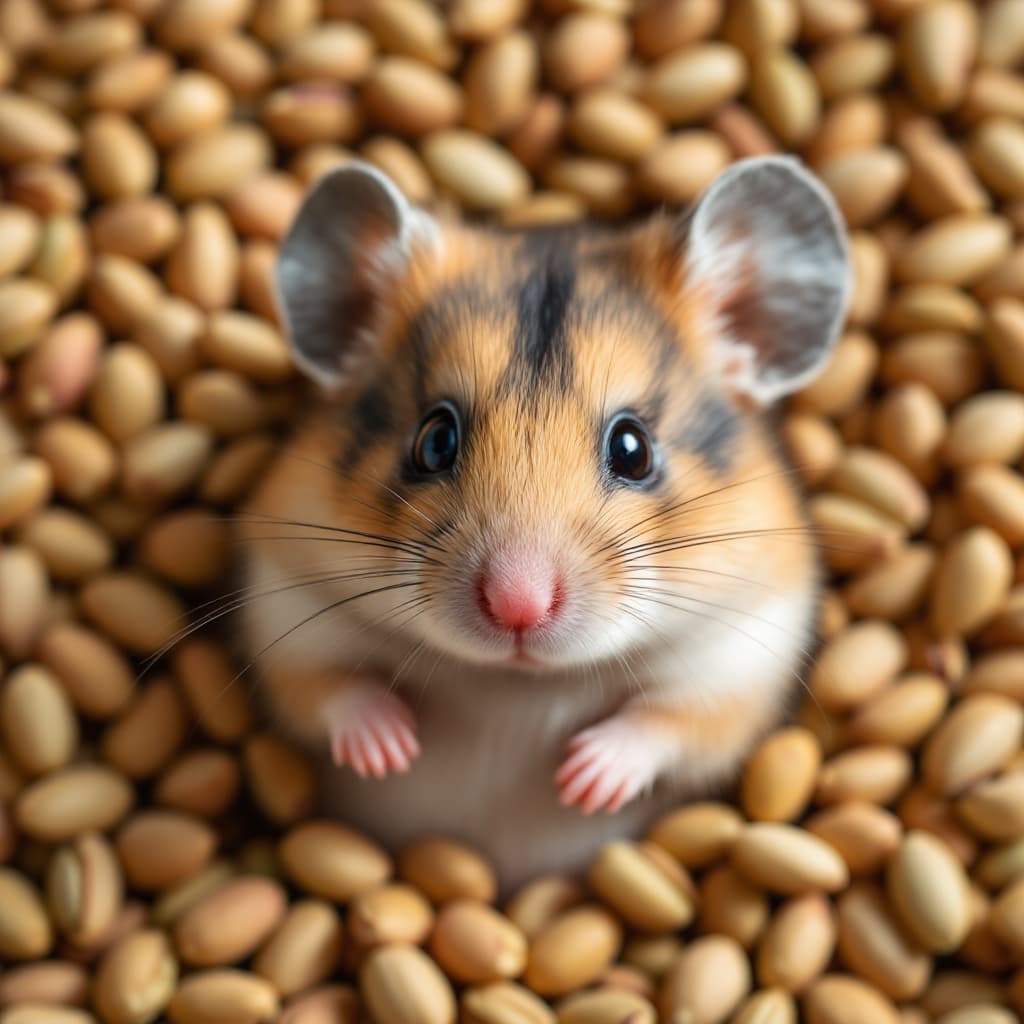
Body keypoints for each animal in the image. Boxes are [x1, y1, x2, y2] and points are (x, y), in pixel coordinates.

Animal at [239, 156, 850, 891]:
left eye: (633, 448)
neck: (518, 683)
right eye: (434, 440)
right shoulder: (287, 607)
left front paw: (581, 779)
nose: (517, 607)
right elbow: (332, 686)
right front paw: (392, 748)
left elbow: (669, 720)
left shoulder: (741, 656)